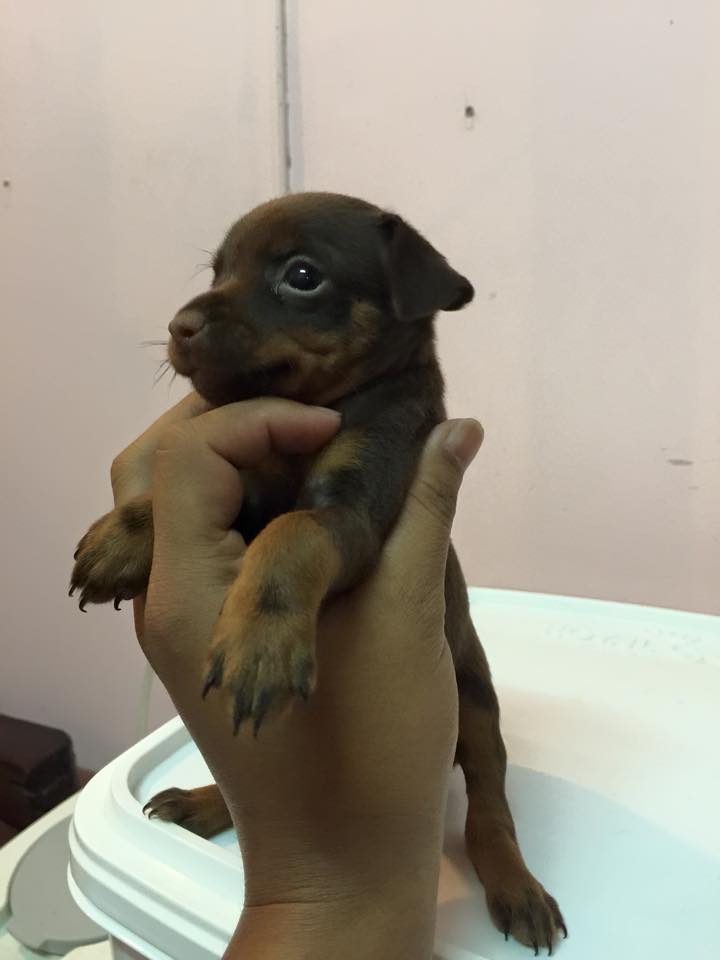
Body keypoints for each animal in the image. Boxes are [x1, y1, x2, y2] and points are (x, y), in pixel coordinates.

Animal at [70, 192, 566, 953]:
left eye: (303, 276)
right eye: (216, 272)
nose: (178, 325)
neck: (323, 408)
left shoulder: (351, 509)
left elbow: (292, 530)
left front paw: (260, 642)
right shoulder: (238, 481)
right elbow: (190, 497)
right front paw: (122, 537)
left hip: (476, 704)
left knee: (490, 803)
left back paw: (515, 883)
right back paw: (205, 802)